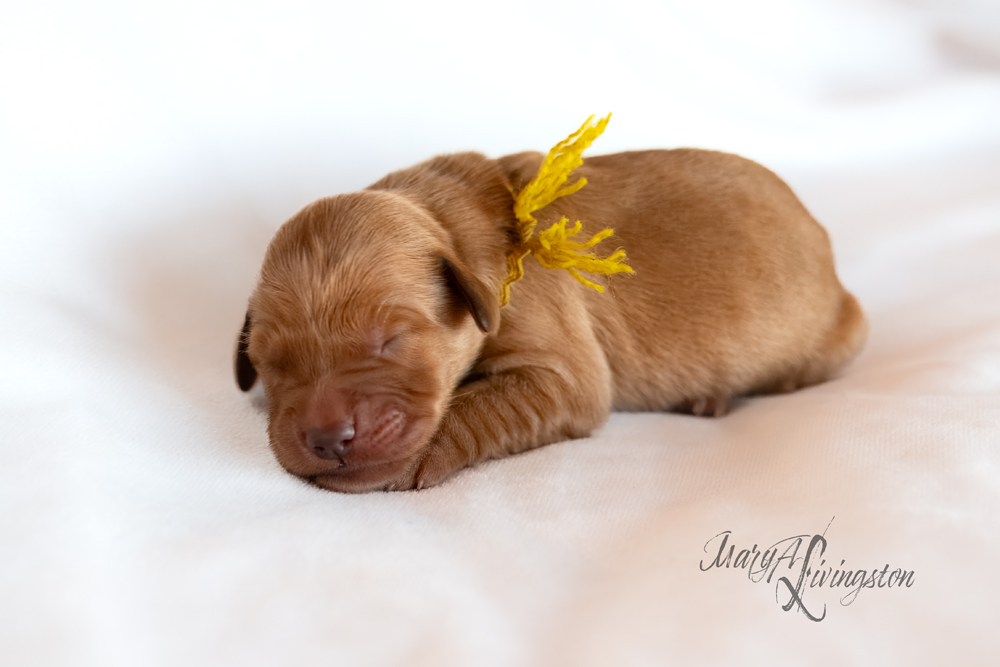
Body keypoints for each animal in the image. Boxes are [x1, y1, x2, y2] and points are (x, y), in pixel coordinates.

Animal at [234, 147, 868, 490]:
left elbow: (476, 404)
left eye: (391, 339)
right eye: (271, 364)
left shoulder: (563, 367)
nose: (326, 438)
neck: (453, 224)